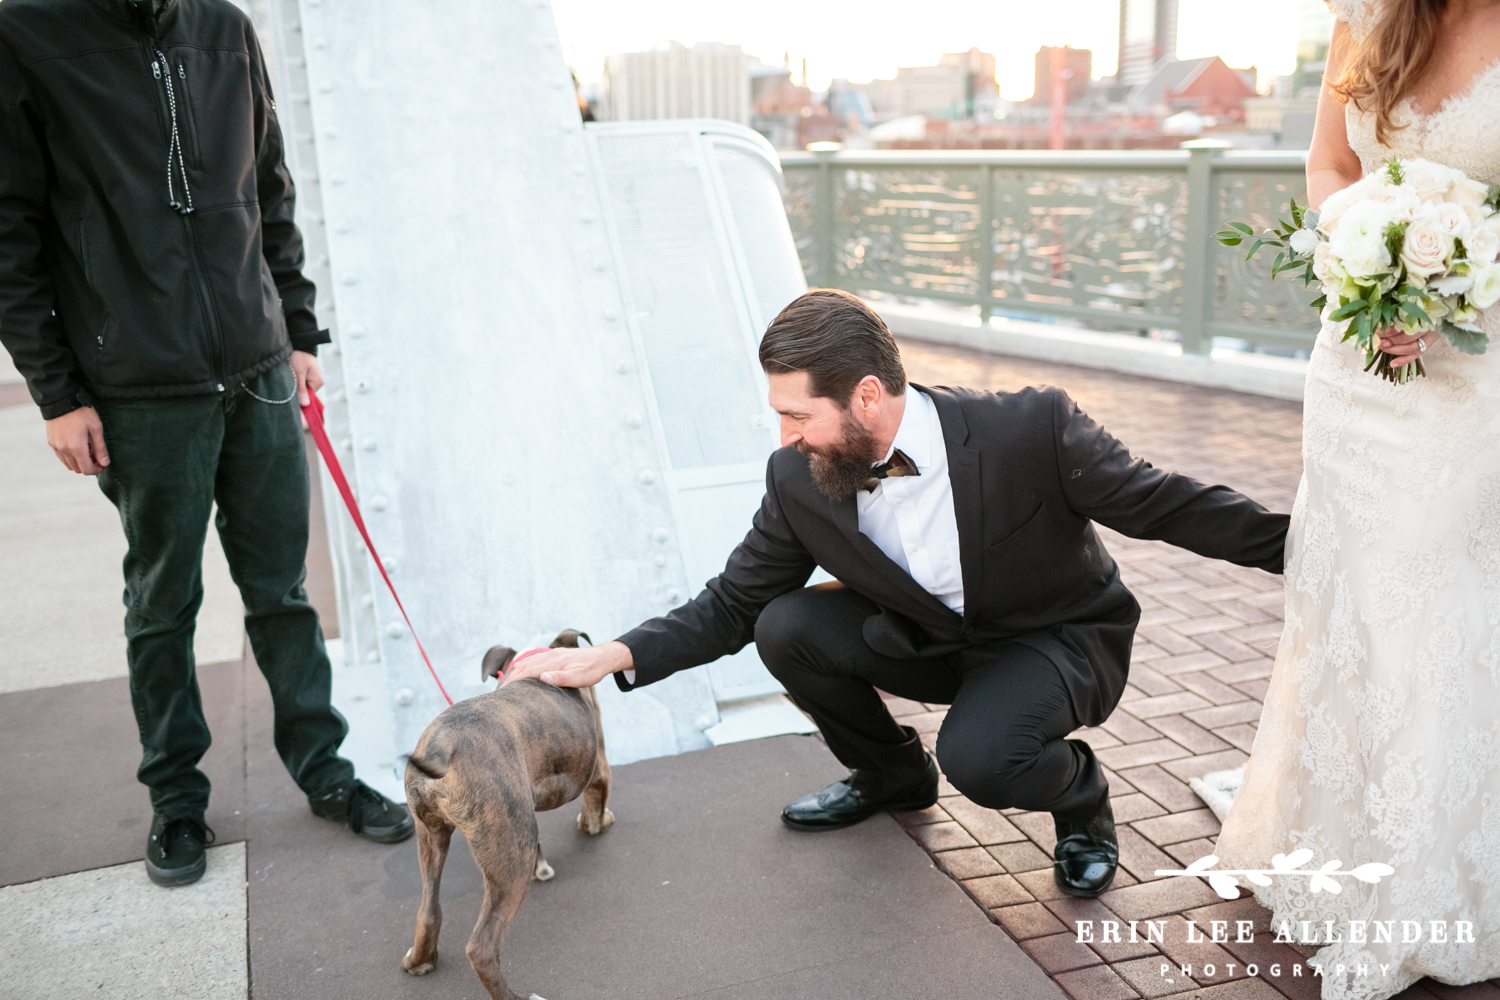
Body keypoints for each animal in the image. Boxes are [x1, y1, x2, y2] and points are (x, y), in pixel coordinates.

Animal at [402, 629, 612, 1000]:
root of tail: (443, 745)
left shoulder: (525, 805)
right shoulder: (597, 772)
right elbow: (594, 813)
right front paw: (599, 822)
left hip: (435, 836)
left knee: (428, 910)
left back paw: (420, 959)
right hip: (510, 859)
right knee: (482, 948)